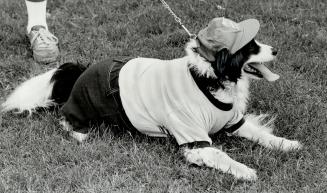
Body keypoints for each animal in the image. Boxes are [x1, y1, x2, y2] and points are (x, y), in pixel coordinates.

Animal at [0, 17, 302, 180]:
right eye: (251, 47)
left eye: (257, 42)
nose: (276, 50)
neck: (210, 78)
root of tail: (81, 71)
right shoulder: (195, 142)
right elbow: (221, 154)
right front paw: (245, 170)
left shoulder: (232, 121)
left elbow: (260, 134)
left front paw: (287, 144)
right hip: (86, 109)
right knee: (64, 118)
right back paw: (79, 134)